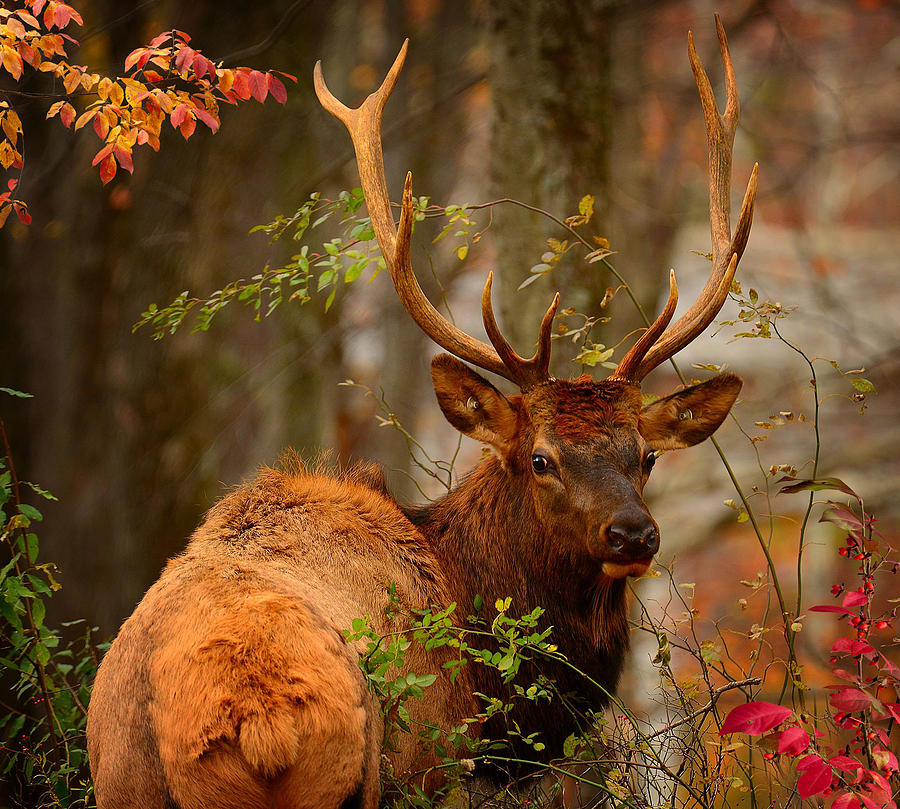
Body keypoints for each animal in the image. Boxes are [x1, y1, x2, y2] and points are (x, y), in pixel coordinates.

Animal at [86, 19, 760, 808]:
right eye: (540, 458)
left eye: (645, 455)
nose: (632, 533)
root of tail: (258, 726)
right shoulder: (443, 767)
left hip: (120, 777)